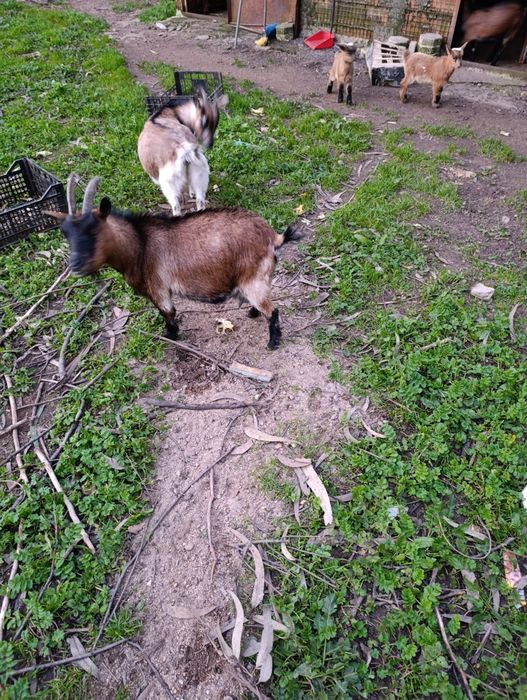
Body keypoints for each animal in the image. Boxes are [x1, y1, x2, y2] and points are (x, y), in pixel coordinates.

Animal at [46, 175, 301, 350]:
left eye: (93, 231)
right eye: (66, 233)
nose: (75, 266)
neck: (140, 244)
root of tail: (272, 236)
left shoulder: (158, 287)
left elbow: (167, 312)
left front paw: (170, 336)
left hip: (253, 277)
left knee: (273, 310)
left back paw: (272, 342)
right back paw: (252, 313)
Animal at [137, 88, 228, 216]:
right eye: (204, 122)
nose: (210, 144)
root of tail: (184, 149)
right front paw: (192, 193)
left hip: (169, 184)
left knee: (176, 205)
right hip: (199, 173)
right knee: (200, 201)